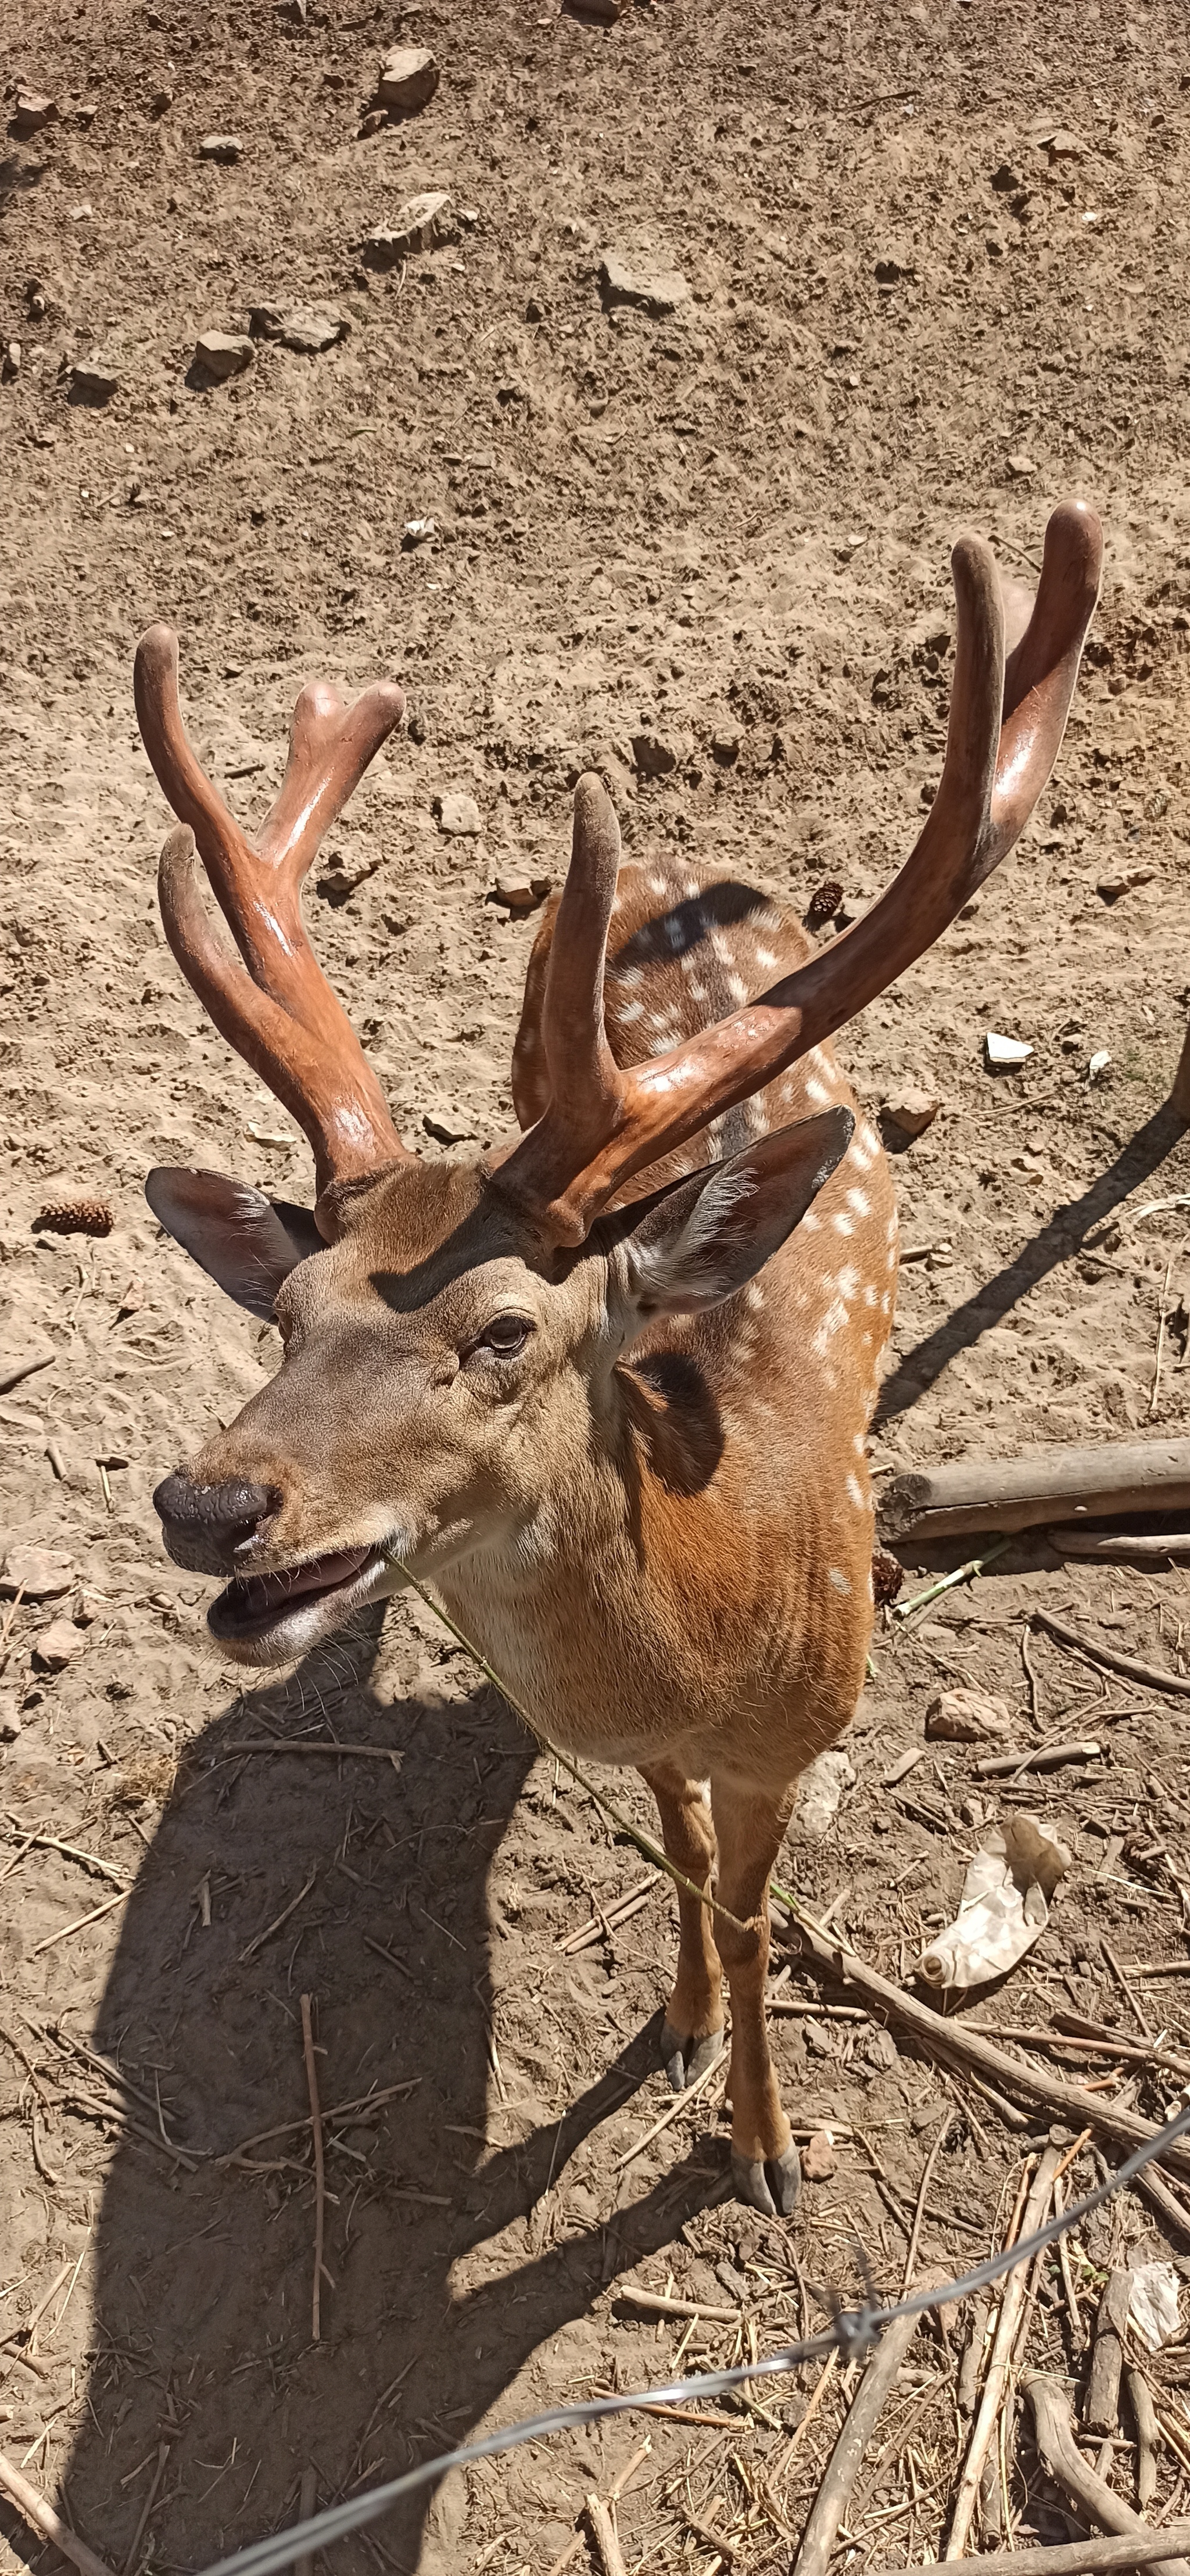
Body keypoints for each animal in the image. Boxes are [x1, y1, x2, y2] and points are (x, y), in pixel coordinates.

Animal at [134, 497, 1102, 2215]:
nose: (209, 1503)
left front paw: (764, 2148)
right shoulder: (660, 1750)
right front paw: (681, 2027)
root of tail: (662, 852)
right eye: (286, 1309)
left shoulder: (797, 1736)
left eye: (504, 1330)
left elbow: (749, 1902)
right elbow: (684, 1854)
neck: (720, 1615)